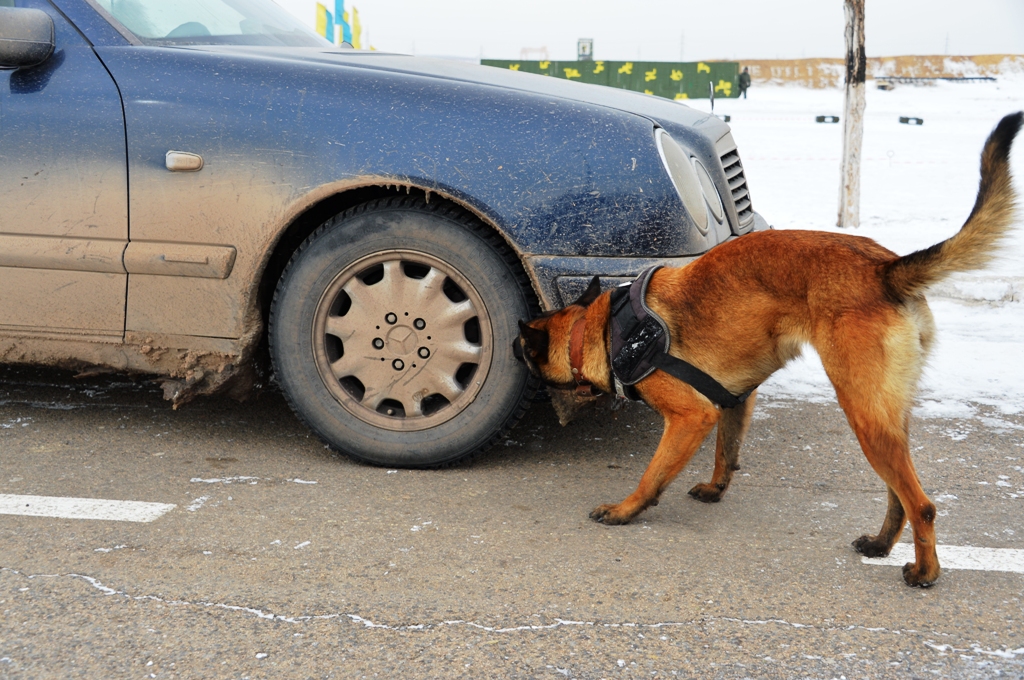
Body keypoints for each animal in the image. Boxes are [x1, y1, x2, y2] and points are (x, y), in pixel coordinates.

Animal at [520, 111, 1024, 585]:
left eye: (524, 349)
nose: (508, 344)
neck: (601, 328)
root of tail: (885, 269)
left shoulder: (689, 417)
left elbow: (652, 474)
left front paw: (626, 510)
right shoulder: (734, 401)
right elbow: (726, 451)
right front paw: (716, 488)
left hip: (863, 414)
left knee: (921, 504)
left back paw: (924, 572)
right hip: (886, 418)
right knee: (898, 493)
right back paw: (881, 544)